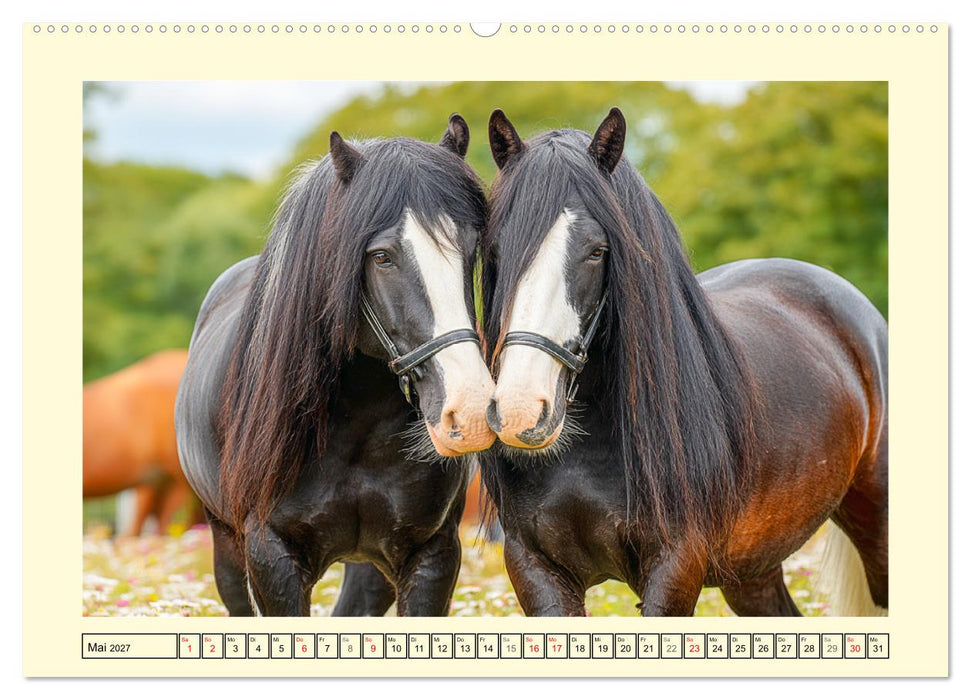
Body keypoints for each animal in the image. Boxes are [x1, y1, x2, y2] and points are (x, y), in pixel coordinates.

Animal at [175, 115, 496, 616]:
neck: (355, 421)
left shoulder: (432, 555)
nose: (470, 410)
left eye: (470, 248)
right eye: (381, 256)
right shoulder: (270, 556)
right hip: (224, 542)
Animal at [480, 108, 888, 617]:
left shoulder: (676, 565)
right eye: (496, 250)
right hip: (751, 568)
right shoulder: (535, 568)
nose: (520, 410)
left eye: (597, 251)